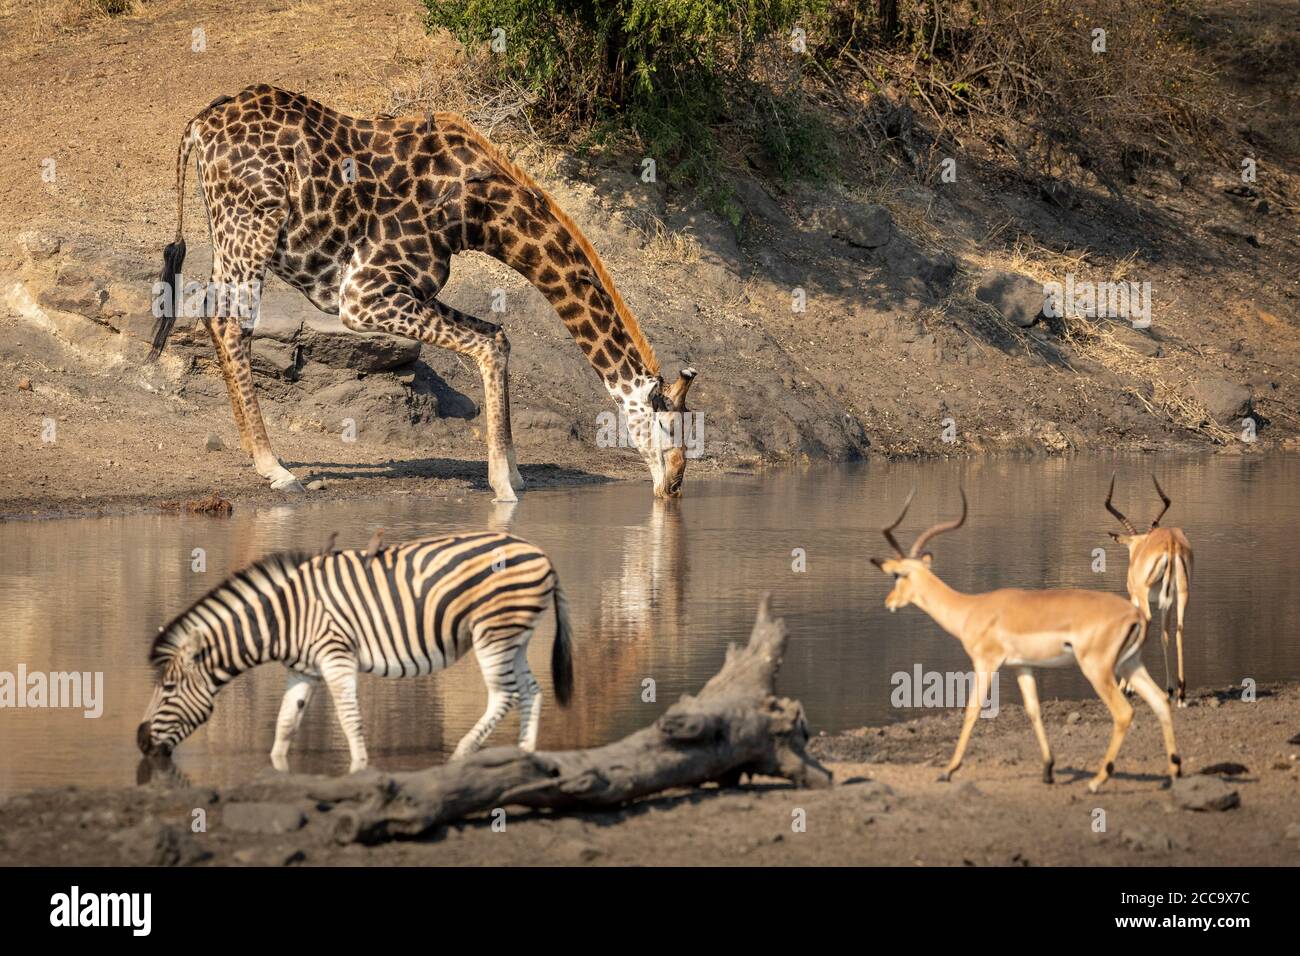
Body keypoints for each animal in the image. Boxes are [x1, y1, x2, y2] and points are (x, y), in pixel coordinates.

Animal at [135, 535, 574, 775]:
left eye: (168, 688)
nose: (139, 741)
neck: (285, 618)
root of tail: (542, 554)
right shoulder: (303, 671)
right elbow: (285, 723)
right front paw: (276, 765)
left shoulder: (335, 657)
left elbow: (349, 717)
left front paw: (360, 767)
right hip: (515, 635)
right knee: (531, 691)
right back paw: (525, 754)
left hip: (493, 633)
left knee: (505, 694)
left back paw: (463, 754)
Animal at [149, 83, 702, 502]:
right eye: (670, 427)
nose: (674, 486)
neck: (478, 214)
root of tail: (199, 124)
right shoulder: (362, 295)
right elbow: (487, 344)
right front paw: (504, 488)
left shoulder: (410, 287)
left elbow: (496, 337)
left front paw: (514, 473)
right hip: (251, 227)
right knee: (230, 322)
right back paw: (274, 467)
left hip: (229, 232)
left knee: (213, 314)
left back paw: (257, 452)